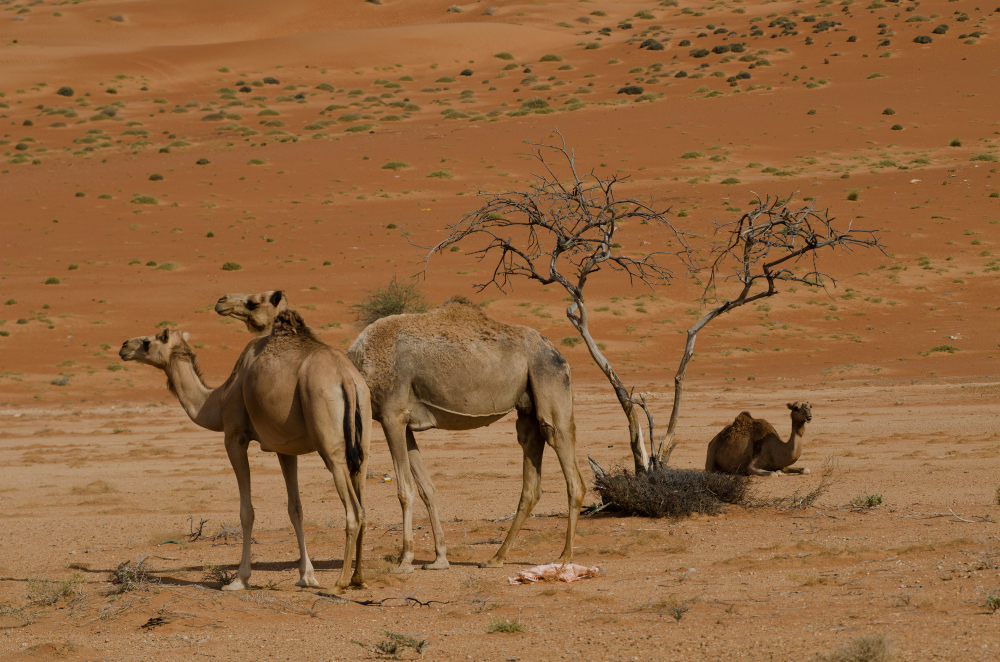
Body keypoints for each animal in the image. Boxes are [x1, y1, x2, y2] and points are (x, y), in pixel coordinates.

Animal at [120, 314, 372, 592]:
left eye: (147, 341)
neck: (218, 400)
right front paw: (306, 576)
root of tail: (345, 377)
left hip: (330, 446)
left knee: (354, 511)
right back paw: (358, 578)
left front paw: (240, 579)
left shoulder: (235, 437)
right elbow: (295, 508)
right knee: (363, 503)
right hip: (362, 437)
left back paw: (340, 582)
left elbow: (246, 511)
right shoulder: (284, 447)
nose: (124, 346)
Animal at [213, 294, 584, 572]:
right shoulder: (405, 423)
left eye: (254, 301)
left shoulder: (391, 415)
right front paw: (439, 558)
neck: (361, 364)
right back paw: (496, 557)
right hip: (527, 411)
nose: (220, 302)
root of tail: (558, 352)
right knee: (531, 482)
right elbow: (426, 488)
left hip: (550, 387)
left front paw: (405, 559)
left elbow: (404, 489)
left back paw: (565, 556)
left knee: (571, 473)